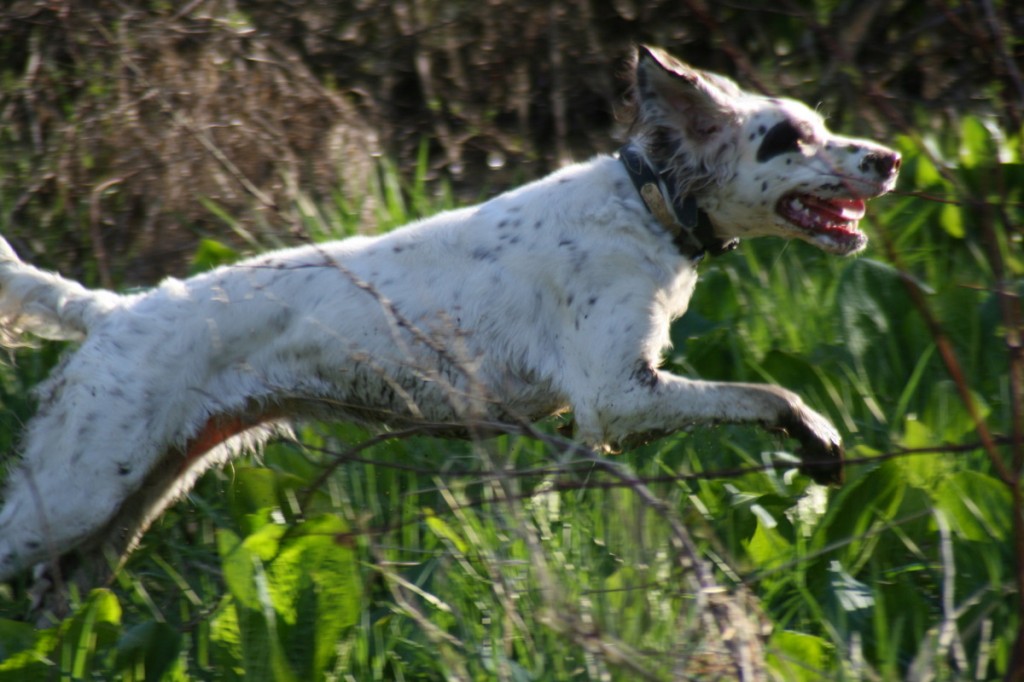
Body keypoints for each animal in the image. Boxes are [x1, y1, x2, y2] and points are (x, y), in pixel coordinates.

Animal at [0, 45, 897, 581]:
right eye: (792, 137)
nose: (888, 157)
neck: (647, 206)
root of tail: (112, 310)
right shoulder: (619, 394)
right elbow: (770, 393)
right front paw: (817, 439)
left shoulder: (600, 416)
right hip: (76, 494)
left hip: (116, 520)